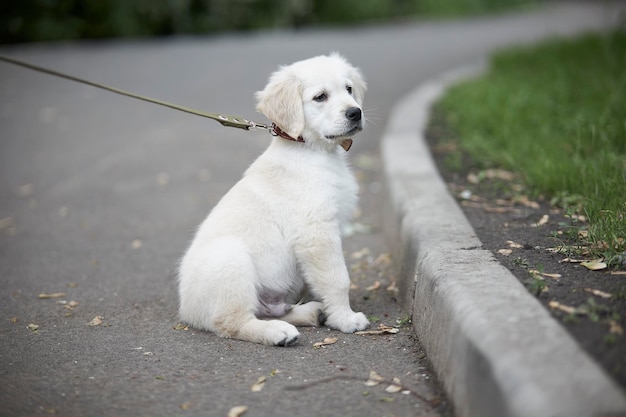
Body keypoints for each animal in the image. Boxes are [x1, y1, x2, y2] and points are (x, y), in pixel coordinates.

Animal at [178, 52, 368, 344]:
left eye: (348, 89)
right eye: (320, 97)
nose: (355, 112)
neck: (313, 150)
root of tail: (185, 310)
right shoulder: (316, 232)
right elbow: (338, 279)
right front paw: (346, 319)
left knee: (268, 309)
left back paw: (310, 313)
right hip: (230, 259)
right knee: (231, 321)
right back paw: (278, 332)